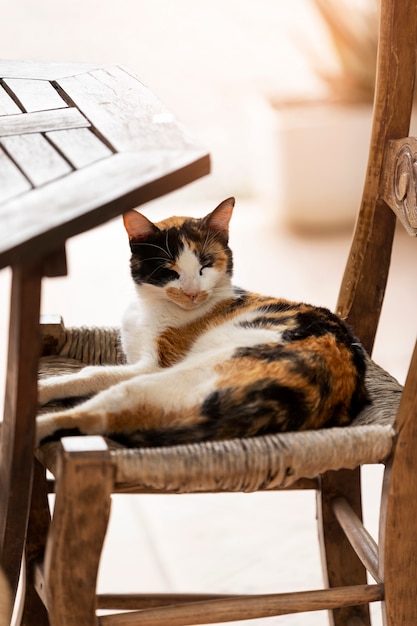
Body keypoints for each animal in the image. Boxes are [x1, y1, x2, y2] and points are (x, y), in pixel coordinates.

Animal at [35, 197, 368, 446]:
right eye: (169, 271)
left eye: (206, 265)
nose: (192, 292)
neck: (151, 307)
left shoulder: (152, 366)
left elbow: (90, 373)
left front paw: (42, 389)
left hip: (169, 378)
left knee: (97, 412)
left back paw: (38, 425)